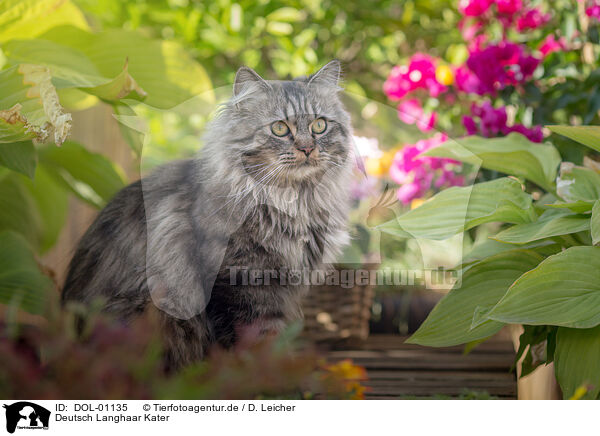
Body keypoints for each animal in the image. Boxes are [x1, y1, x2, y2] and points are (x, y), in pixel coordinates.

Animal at [62, 60, 352, 368]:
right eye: (279, 128)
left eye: (319, 125)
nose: (308, 148)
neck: (294, 203)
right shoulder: (240, 285)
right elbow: (261, 345)